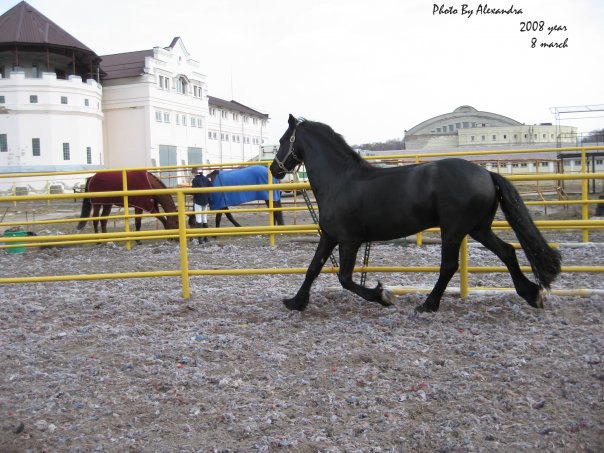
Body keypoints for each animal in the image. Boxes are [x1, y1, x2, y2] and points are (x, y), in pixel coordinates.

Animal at [270, 114, 560, 310]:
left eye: (283, 140)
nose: (274, 169)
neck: (340, 180)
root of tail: (487, 174)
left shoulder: (349, 240)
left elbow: (345, 278)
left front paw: (382, 295)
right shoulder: (329, 236)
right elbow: (313, 268)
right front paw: (295, 301)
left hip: (454, 231)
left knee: (449, 266)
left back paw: (428, 305)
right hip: (478, 228)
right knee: (508, 252)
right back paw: (531, 294)